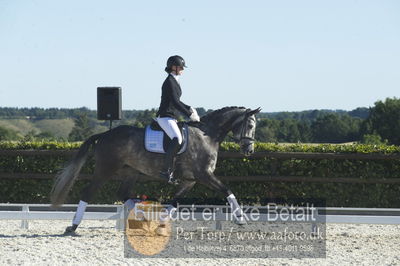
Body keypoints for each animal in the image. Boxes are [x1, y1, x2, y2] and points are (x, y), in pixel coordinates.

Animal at [50, 106, 260, 233]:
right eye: (250, 124)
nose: (249, 150)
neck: (207, 135)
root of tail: (104, 134)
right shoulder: (204, 175)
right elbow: (227, 190)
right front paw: (241, 218)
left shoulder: (190, 180)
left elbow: (174, 202)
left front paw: (160, 223)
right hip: (105, 170)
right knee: (88, 192)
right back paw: (73, 226)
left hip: (131, 171)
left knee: (124, 194)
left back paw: (144, 220)